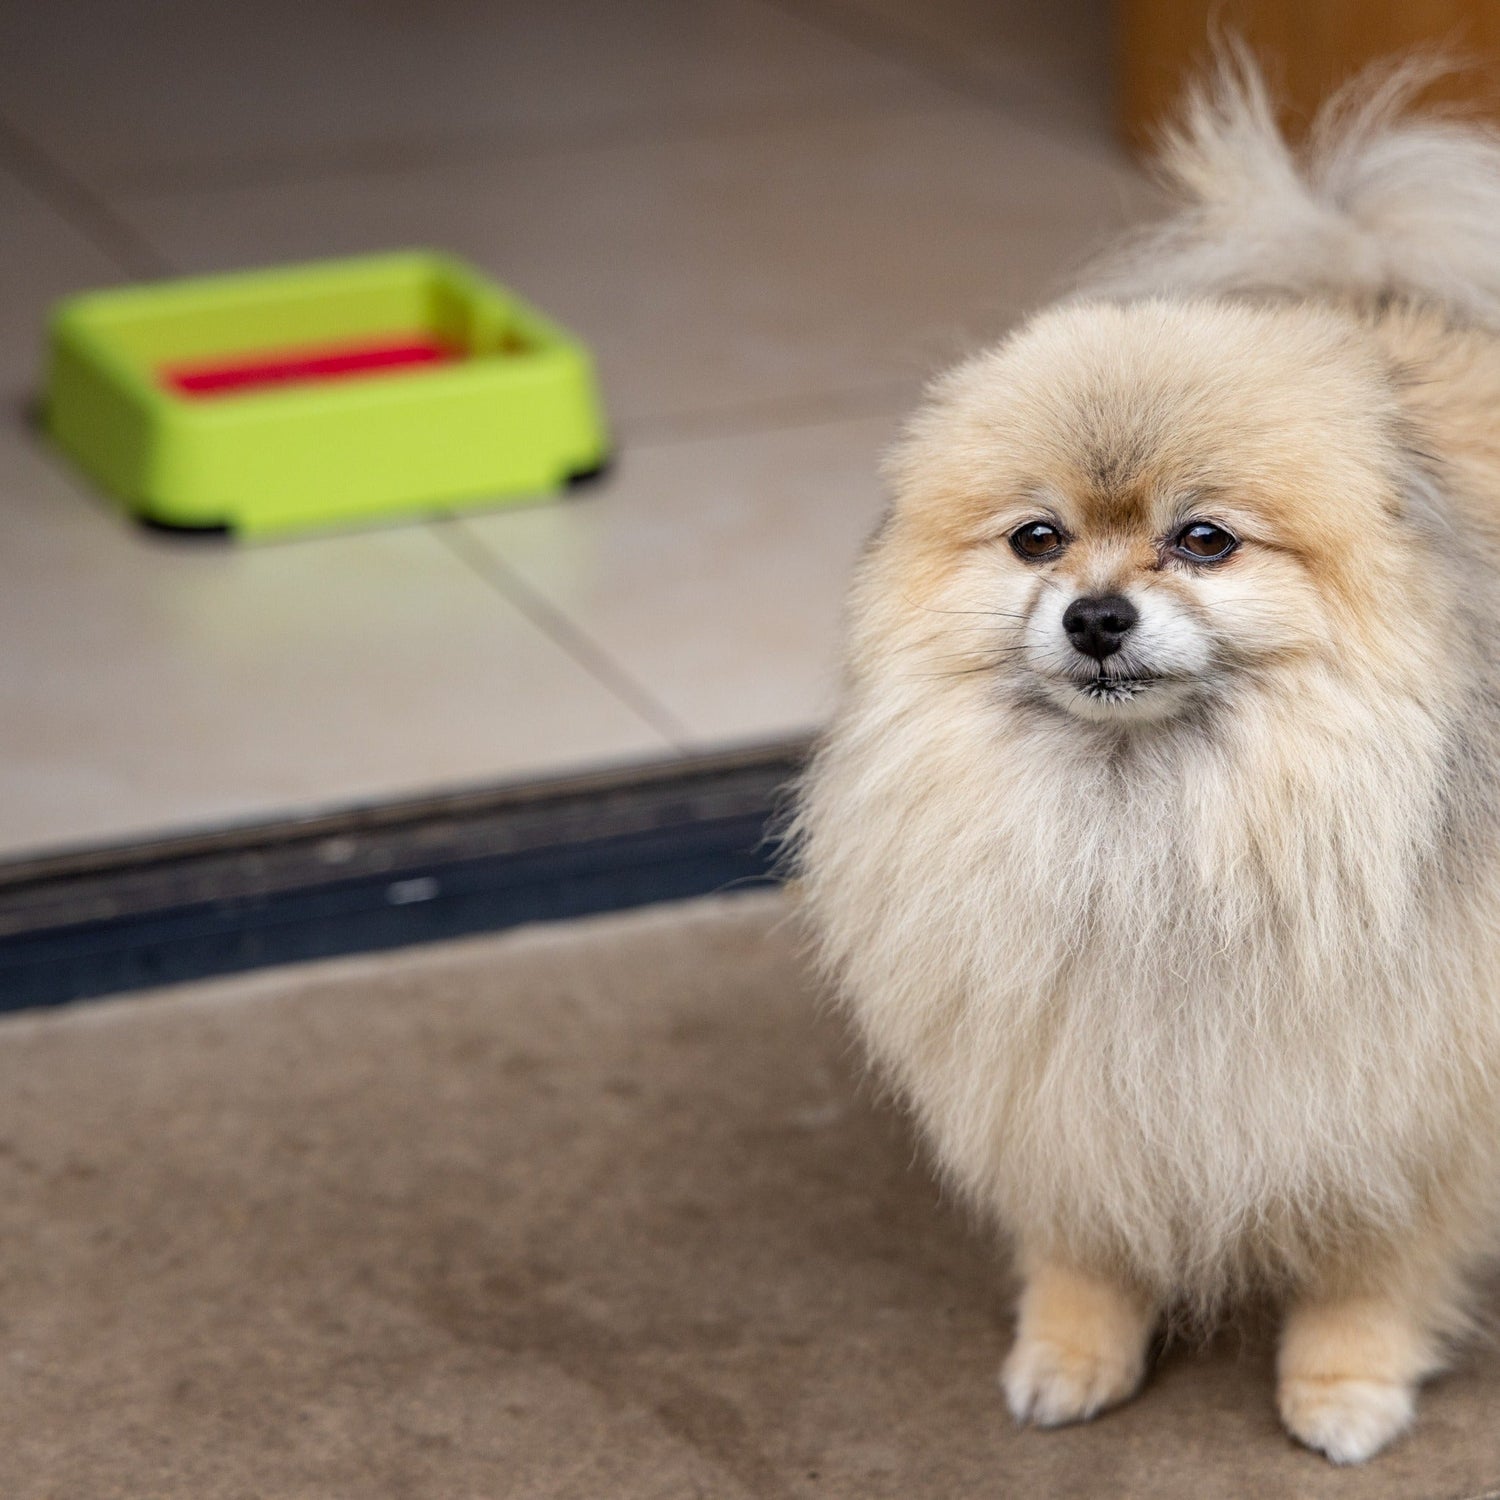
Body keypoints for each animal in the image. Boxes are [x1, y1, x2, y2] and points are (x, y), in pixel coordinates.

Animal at [798, 61, 1500, 1464]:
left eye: (1205, 540)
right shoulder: (1061, 1056)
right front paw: (1073, 1350)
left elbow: (1377, 1258)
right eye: (1037, 538)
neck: (1154, 820)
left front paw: (1346, 1382)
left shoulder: (1409, 1080)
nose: (1097, 616)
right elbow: (1084, 1230)